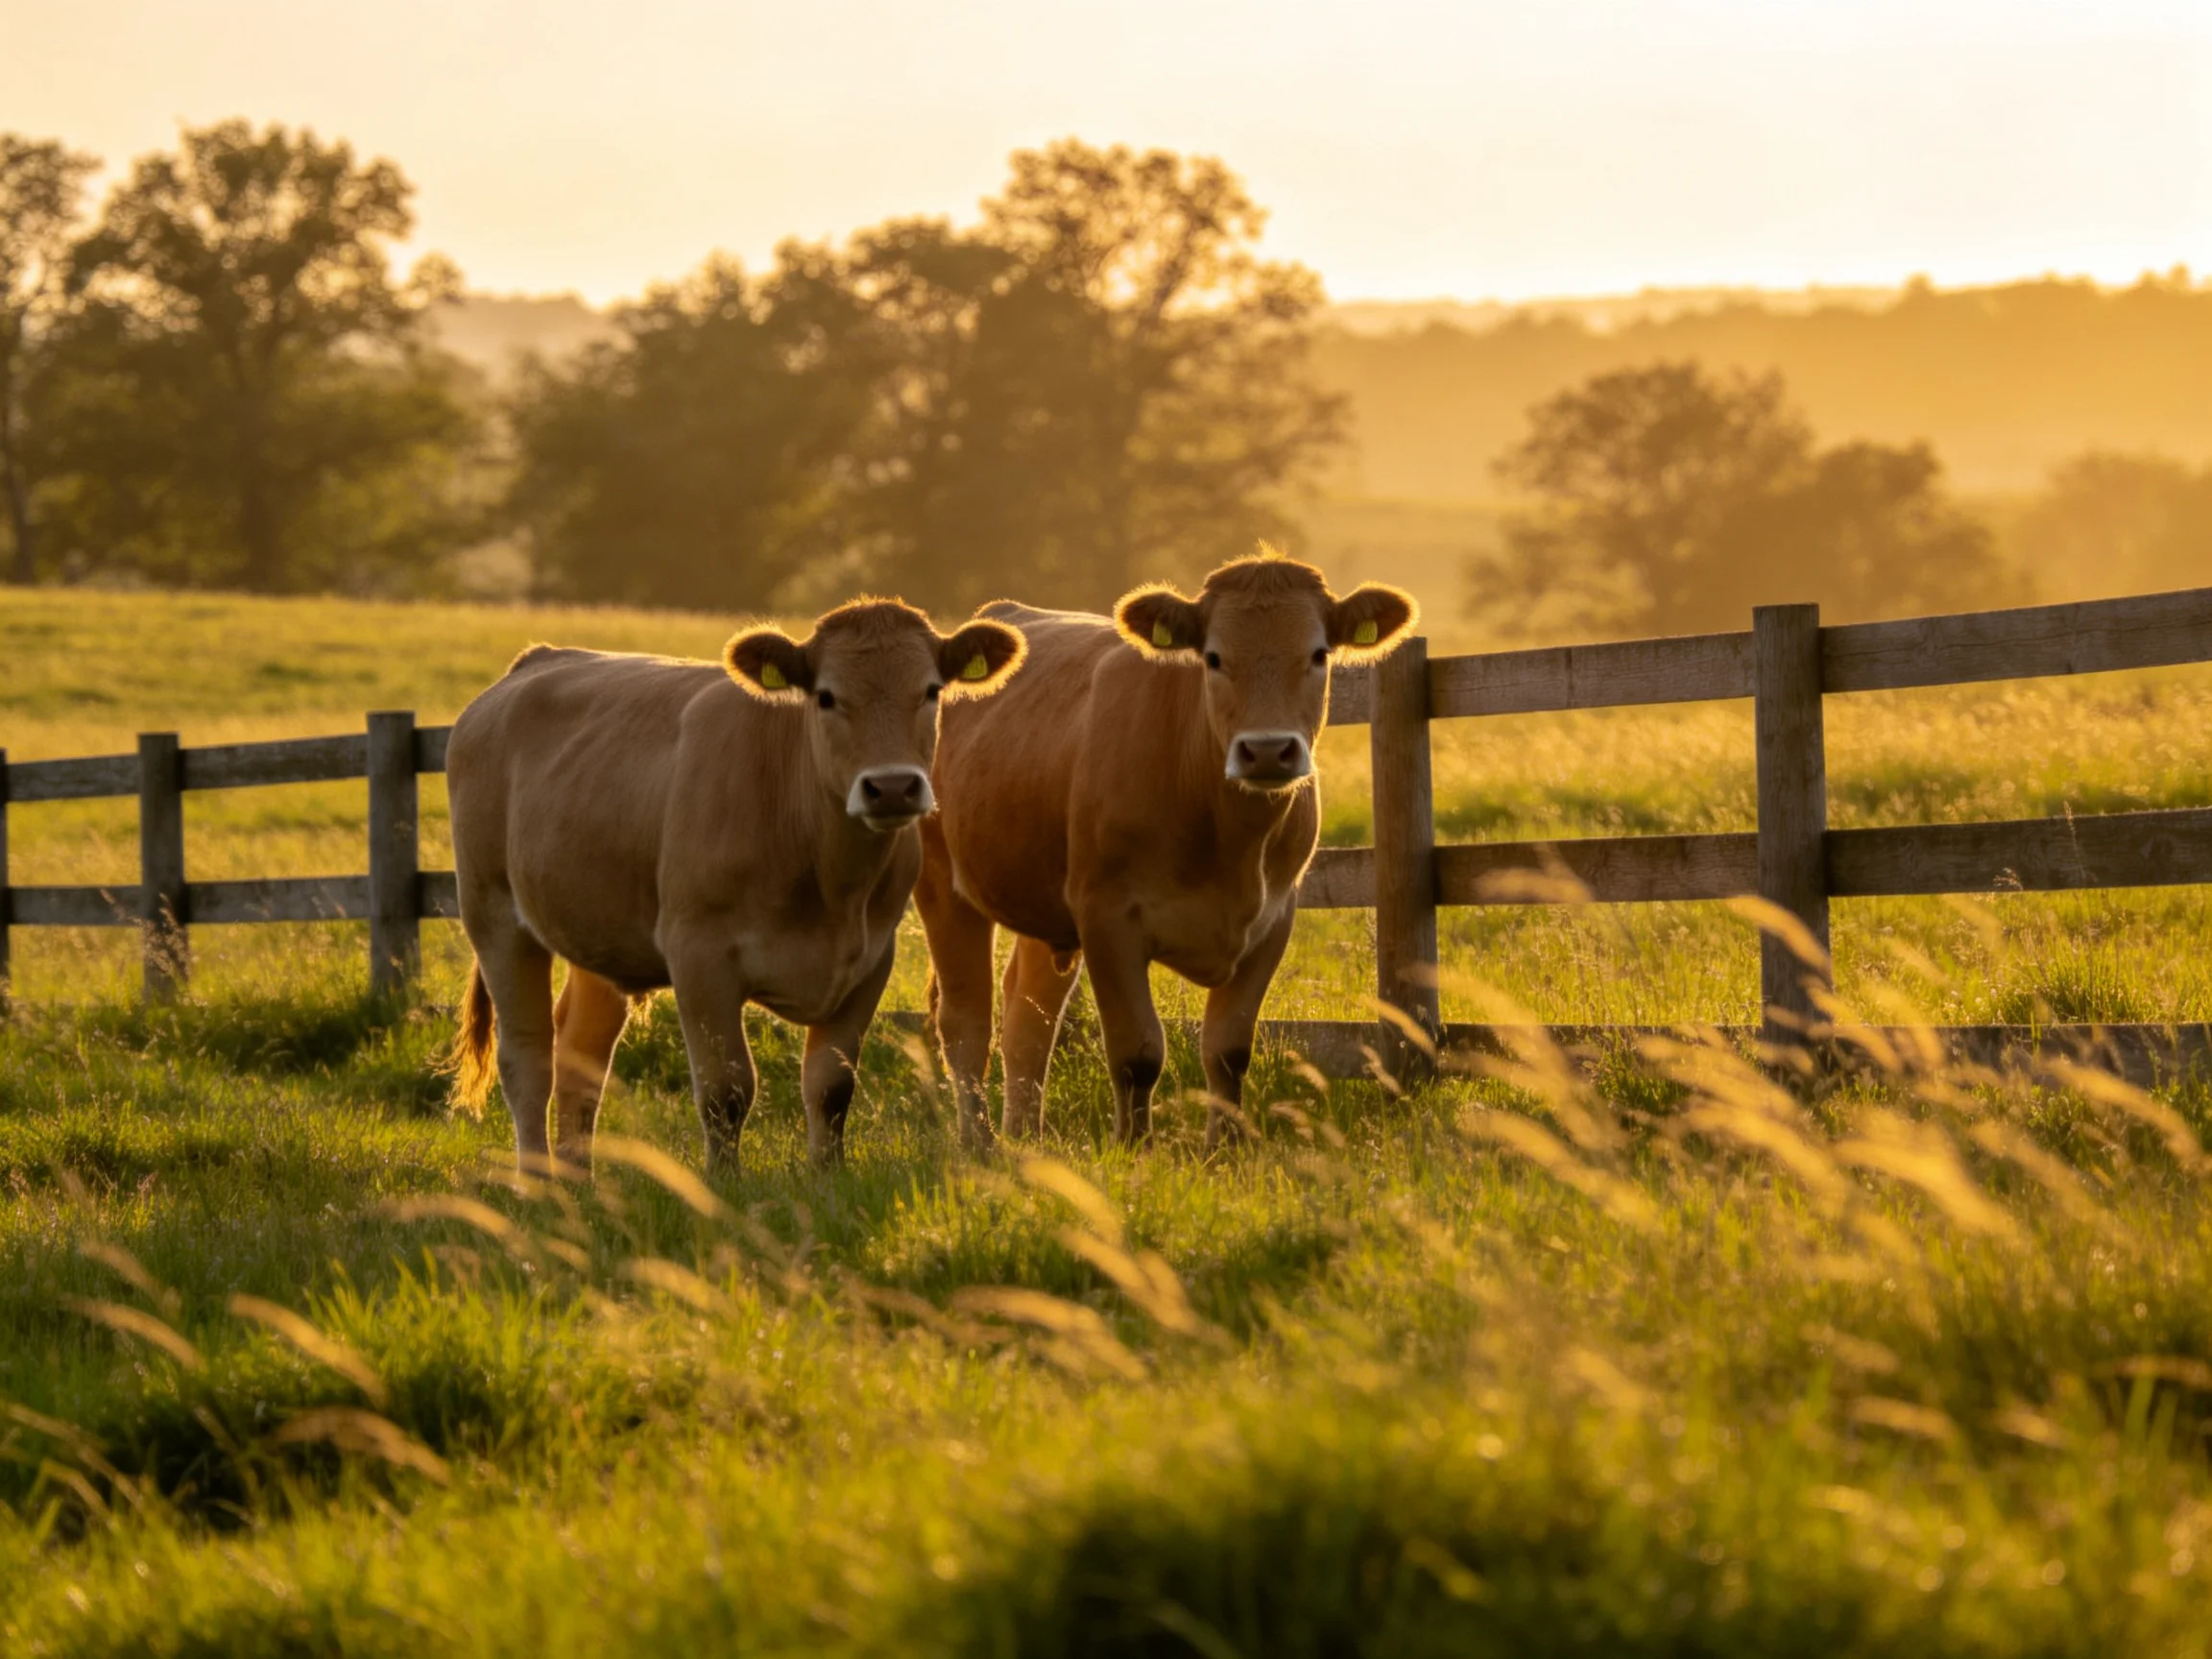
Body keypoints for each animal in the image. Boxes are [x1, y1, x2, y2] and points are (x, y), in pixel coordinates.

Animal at [444, 598, 1026, 1176]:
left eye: (931, 690)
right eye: (826, 696)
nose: (892, 787)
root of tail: (536, 661)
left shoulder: (869, 963)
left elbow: (832, 1087)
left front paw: (827, 1176)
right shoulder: (699, 955)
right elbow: (726, 1089)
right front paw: (723, 1183)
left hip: (596, 927)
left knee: (581, 1051)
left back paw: (575, 1178)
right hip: (494, 915)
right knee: (526, 1058)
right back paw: (536, 1178)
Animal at [916, 552, 1417, 1148]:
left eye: (1319, 654)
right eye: (1214, 657)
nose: (1267, 750)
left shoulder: (1274, 919)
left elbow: (1227, 1051)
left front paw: (1224, 1148)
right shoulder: (1107, 918)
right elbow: (1137, 1054)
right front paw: (1134, 1148)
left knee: (1028, 1018)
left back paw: (1024, 1137)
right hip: (942, 885)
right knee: (966, 1024)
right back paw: (980, 1141)